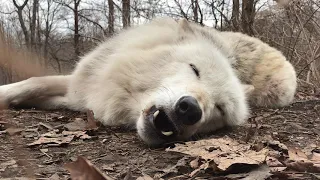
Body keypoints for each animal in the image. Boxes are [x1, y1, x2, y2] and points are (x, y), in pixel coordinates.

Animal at [0, 17, 298, 146]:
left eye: (220, 109)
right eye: (194, 69)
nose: (190, 109)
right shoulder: (82, 88)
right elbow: (34, 81)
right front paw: (6, 93)